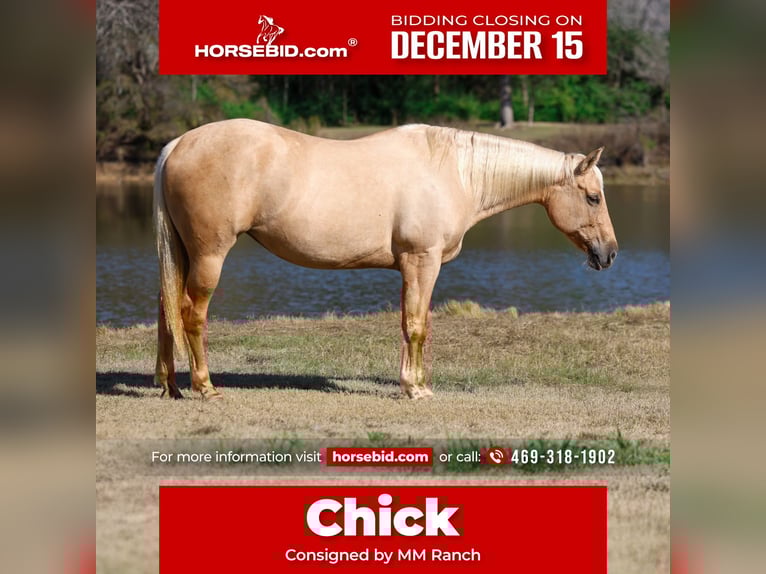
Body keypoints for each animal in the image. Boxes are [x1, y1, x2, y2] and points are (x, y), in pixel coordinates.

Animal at [153, 119, 618, 401]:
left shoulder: (414, 267)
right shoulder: (422, 261)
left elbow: (415, 323)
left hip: (183, 253)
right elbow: (415, 325)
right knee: (191, 313)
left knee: (166, 310)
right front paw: (415, 389)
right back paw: (205, 387)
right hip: (210, 255)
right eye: (593, 197)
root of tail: (177, 144)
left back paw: (169, 386)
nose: (609, 253)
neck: (454, 173)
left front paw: (415, 382)